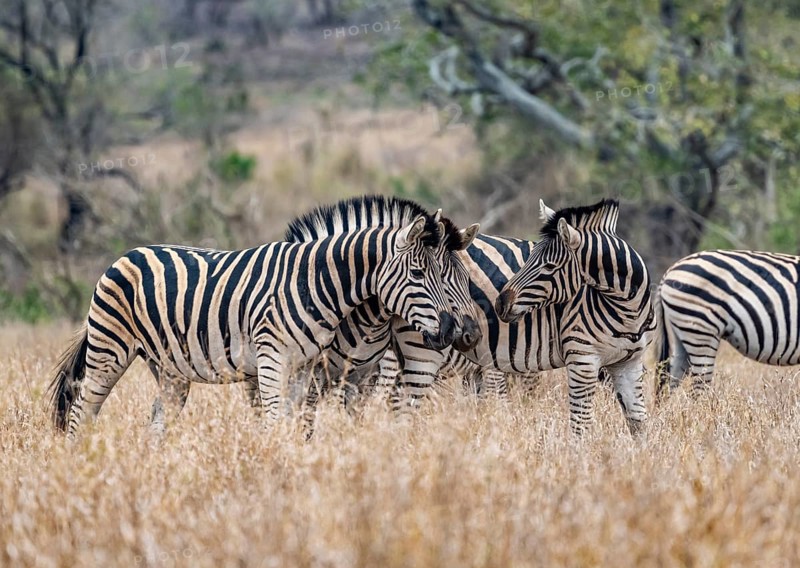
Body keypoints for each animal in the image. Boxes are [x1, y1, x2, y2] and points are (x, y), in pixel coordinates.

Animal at [48, 196, 457, 438]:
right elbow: (277, 419)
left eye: (445, 274)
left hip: (167, 367)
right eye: (418, 274)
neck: (318, 283)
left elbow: (293, 420)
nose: (453, 331)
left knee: (158, 418)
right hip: (110, 349)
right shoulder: (271, 357)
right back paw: (81, 463)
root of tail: (125, 255)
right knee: (83, 410)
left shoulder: (305, 367)